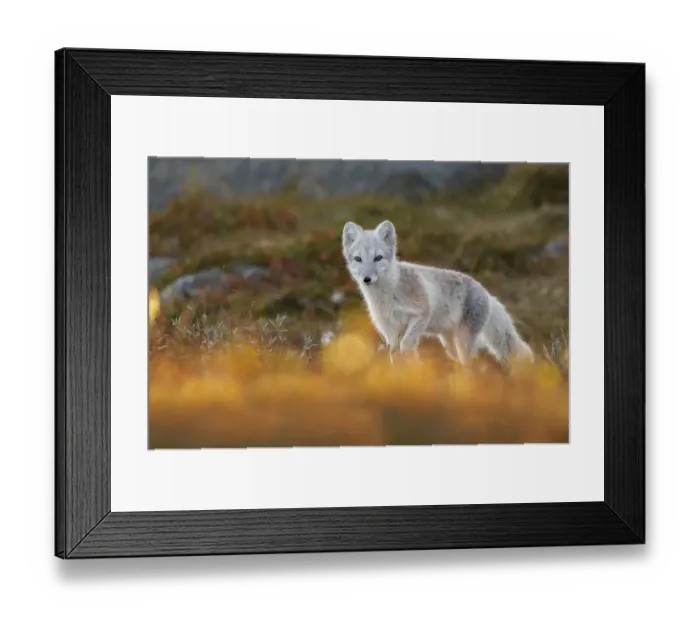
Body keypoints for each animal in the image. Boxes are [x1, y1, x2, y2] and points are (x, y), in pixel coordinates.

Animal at [342, 219, 535, 367]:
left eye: (378, 258)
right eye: (358, 259)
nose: (367, 279)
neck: (386, 297)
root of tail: (486, 292)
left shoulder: (422, 314)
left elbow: (406, 345)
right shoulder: (389, 329)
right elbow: (394, 354)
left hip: (463, 342)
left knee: (471, 365)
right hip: (449, 344)